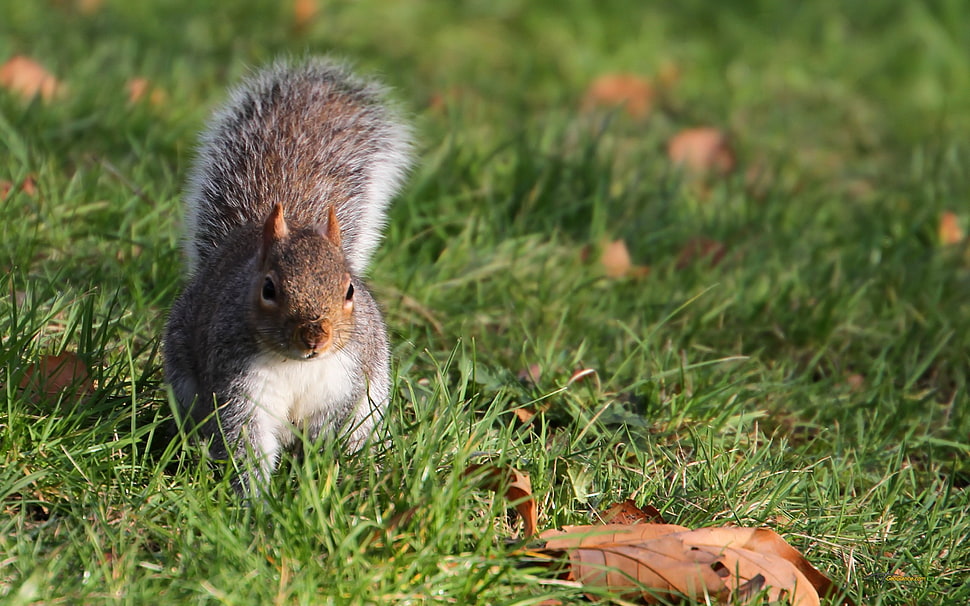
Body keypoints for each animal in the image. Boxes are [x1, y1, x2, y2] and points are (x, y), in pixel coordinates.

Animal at [163, 57, 412, 493]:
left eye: (350, 290)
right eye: (269, 288)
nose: (315, 336)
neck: (298, 365)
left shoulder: (345, 383)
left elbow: (329, 431)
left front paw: (318, 477)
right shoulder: (239, 388)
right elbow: (246, 441)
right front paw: (255, 500)